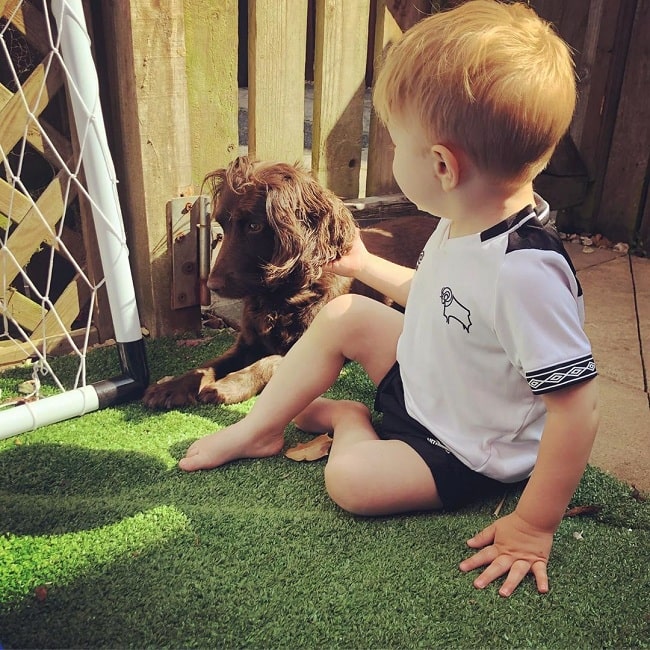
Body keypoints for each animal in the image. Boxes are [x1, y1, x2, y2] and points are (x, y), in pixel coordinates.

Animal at [142, 156, 436, 408]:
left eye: (254, 226)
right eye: (222, 225)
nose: (211, 286)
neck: (281, 296)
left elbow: (268, 362)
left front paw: (230, 385)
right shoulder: (247, 342)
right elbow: (210, 363)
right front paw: (172, 386)